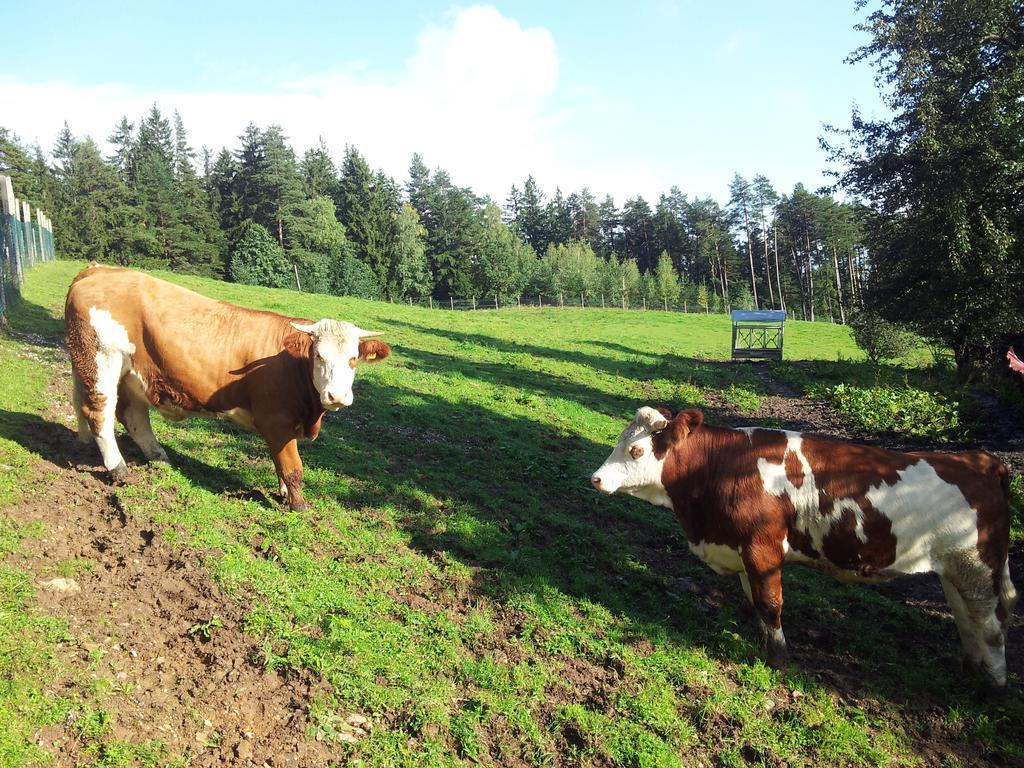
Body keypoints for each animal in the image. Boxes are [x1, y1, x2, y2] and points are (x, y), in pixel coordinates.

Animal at [64, 264, 389, 512]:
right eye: (319, 355)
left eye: (353, 359)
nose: (337, 396)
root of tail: (97, 270)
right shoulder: (277, 421)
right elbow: (292, 467)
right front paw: (298, 505)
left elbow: (279, 462)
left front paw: (284, 493)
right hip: (101, 361)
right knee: (99, 414)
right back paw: (118, 468)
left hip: (129, 374)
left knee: (131, 415)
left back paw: (157, 457)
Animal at [593, 405, 1015, 688]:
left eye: (636, 451)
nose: (596, 478)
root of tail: (980, 459)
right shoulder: (742, 551)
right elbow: (755, 602)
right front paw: (764, 644)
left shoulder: (762, 548)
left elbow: (769, 603)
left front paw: (778, 659)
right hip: (955, 568)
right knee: (967, 618)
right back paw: (970, 670)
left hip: (978, 565)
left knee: (992, 625)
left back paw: (993, 687)